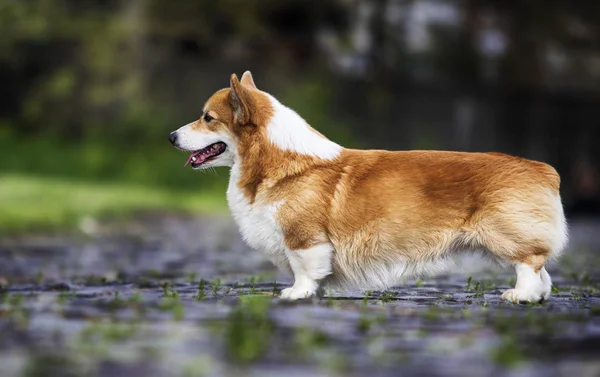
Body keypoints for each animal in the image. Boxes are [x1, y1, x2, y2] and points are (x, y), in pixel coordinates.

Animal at [168, 72, 568, 302]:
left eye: (207, 118)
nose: (171, 137)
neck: (276, 159)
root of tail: (544, 170)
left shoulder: (304, 237)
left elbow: (304, 268)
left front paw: (296, 294)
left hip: (507, 234)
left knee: (530, 264)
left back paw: (518, 296)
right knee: (544, 274)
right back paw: (536, 297)